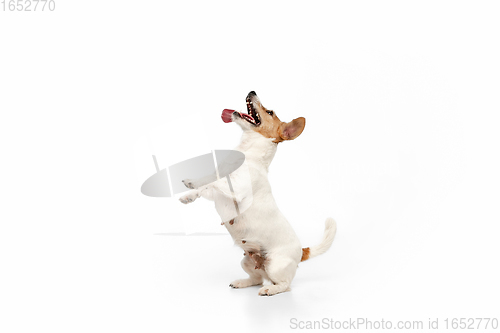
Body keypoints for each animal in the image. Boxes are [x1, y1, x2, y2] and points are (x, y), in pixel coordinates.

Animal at [180, 91, 336, 296]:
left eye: (269, 112)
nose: (252, 91)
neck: (247, 152)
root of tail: (302, 251)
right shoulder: (220, 185)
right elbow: (208, 179)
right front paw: (190, 186)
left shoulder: (235, 189)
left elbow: (212, 183)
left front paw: (190, 194)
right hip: (246, 261)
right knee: (256, 279)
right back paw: (241, 282)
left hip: (275, 265)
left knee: (285, 285)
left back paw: (270, 289)